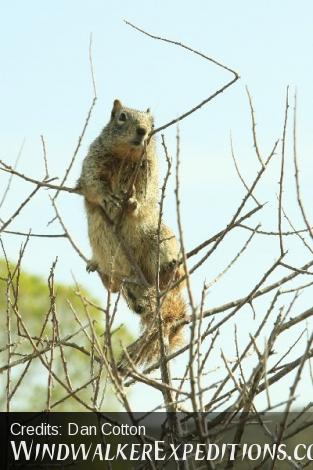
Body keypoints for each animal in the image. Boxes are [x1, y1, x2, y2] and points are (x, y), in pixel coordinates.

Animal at [77, 99, 185, 370]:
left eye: (153, 124)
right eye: (122, 117)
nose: (143, 131)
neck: (127, 154)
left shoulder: (148, 169)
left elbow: (144, 192)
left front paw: (133, 202)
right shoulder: (92, 162)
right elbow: (93, 183)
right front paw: (108, 197)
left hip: (159, 240)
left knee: (169, 278)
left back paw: (170, 271)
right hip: (107, 253)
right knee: (115, 288)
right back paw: (100, 271)